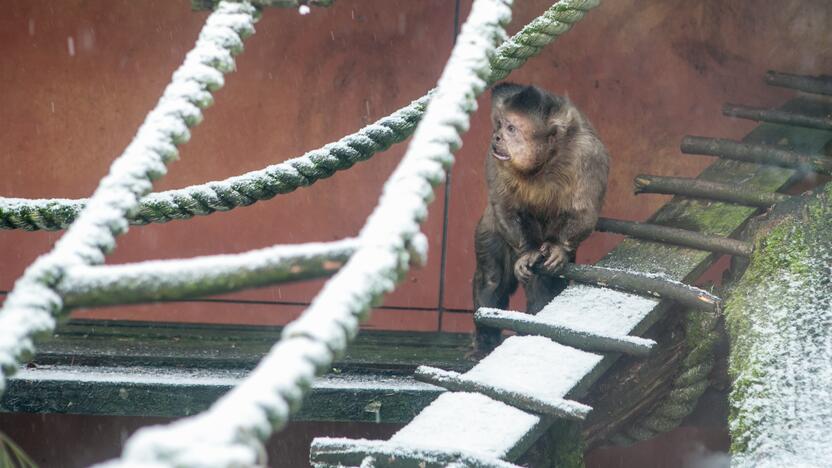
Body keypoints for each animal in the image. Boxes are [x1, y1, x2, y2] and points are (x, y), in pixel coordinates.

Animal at [474, 82, 612, 350]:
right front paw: (527, 252)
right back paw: (485, 342)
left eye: (511, 128)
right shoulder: (496, 158)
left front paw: (558, 247)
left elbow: (585, 211)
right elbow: (504, 205)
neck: (545, 161)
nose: (497, 136)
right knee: (492, 278)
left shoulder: (588, 154)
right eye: (501, 125)